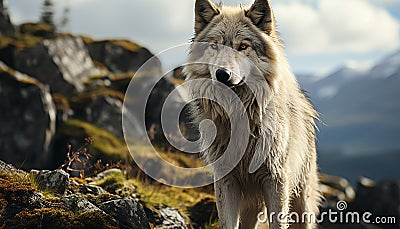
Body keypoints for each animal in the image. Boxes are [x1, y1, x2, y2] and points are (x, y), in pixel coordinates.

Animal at [184, 0, 322, 228]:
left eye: (243, 47)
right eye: (215, 45)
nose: (222, 74)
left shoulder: (275, 181)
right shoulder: (226, 181)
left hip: (300, 201)